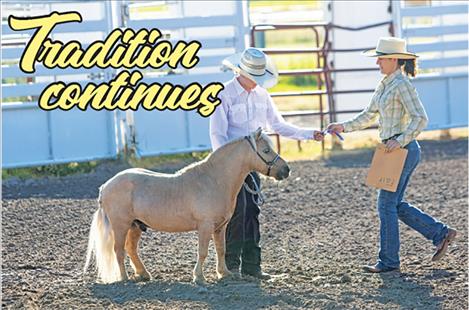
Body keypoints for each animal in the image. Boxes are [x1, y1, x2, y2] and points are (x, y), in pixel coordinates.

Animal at [84, 128, 288, 284]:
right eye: (266, 150)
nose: (286, 170)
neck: (213, 180)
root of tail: (106, 186)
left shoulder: (220, 227)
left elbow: (221, 249)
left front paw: (224, 274)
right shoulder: (205, 226)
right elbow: (203, 252)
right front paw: (199, 278)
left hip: (135, 225)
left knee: (130, 249)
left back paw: (144, 275)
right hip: (121, 225)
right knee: (118, 250)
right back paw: (124, 278)